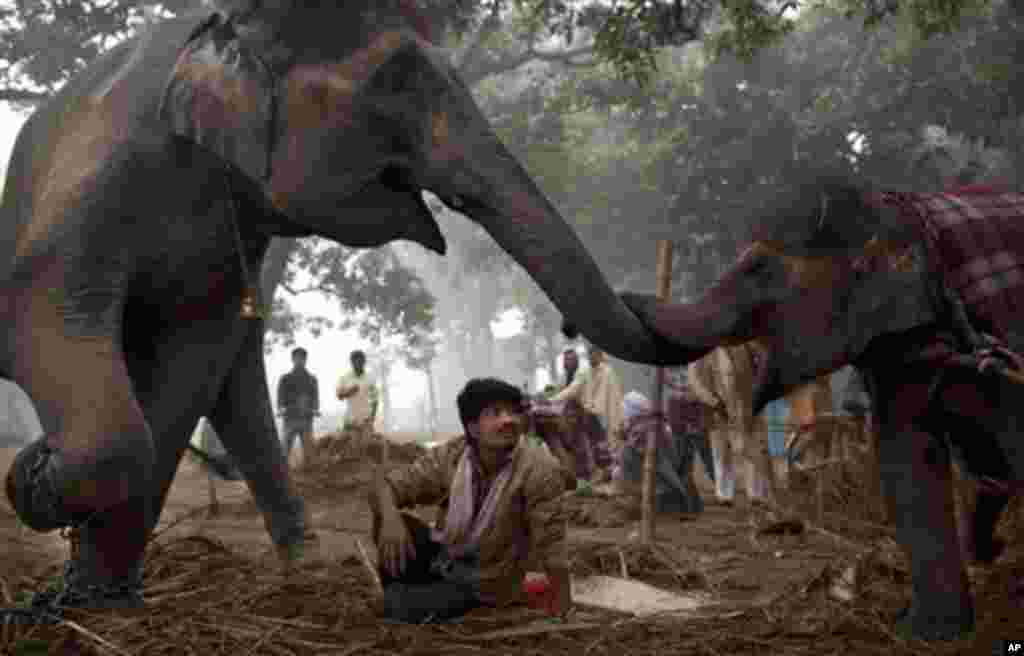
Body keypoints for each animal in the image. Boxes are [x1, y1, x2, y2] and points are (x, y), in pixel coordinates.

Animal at [0, 0, 679, 618]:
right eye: (395, 80)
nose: (643, 297)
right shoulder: (98, 174)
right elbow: (42, 322)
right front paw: (34, 483)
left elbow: (184, 367)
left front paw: (96, 602)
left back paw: (301, 566)